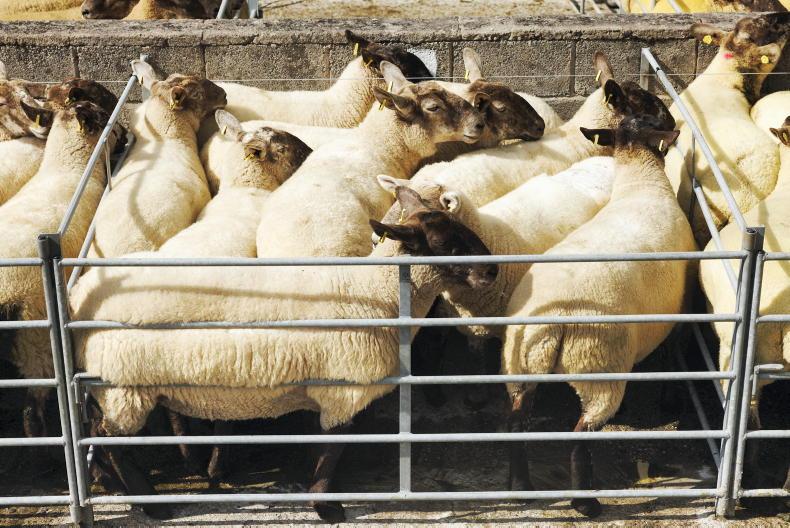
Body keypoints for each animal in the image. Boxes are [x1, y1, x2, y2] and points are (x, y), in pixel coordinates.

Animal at [69, 183, 498, 522]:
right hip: (123, 386)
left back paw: (111, 484)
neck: (373, 291)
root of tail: (79, 298)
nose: (492, 271)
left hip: (112, 386)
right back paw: (151, 503)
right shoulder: (343, 388)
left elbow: (318, 446)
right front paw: (326, 506)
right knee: (109, 439)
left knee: (94, 434)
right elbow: (333, 450)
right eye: (449, 246)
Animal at [501, 115, 694, 518]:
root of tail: (551, 320)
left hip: (519, 367)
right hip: (599, 365)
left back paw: (521, 490)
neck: (640, 180)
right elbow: (673, 353)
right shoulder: (680, 310)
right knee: (581, 435)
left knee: (514, 424)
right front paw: (671, 400)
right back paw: (585, 503)